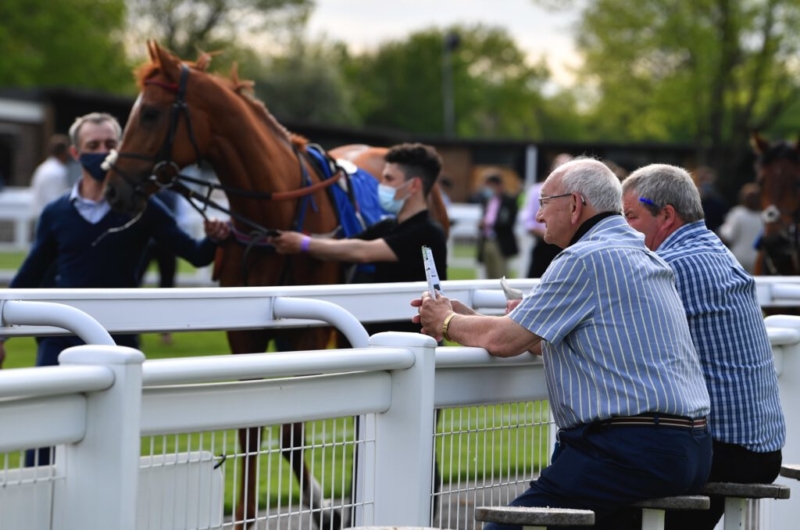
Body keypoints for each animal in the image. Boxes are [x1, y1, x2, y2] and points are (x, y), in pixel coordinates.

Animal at [104, 41, 450, 528]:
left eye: (150, 113)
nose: (112, 188)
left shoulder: (306, 333)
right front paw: (248, 516)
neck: (272, 216)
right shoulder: (245, 332)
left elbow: (291, 429)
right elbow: (251, 426)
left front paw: (324, 509)